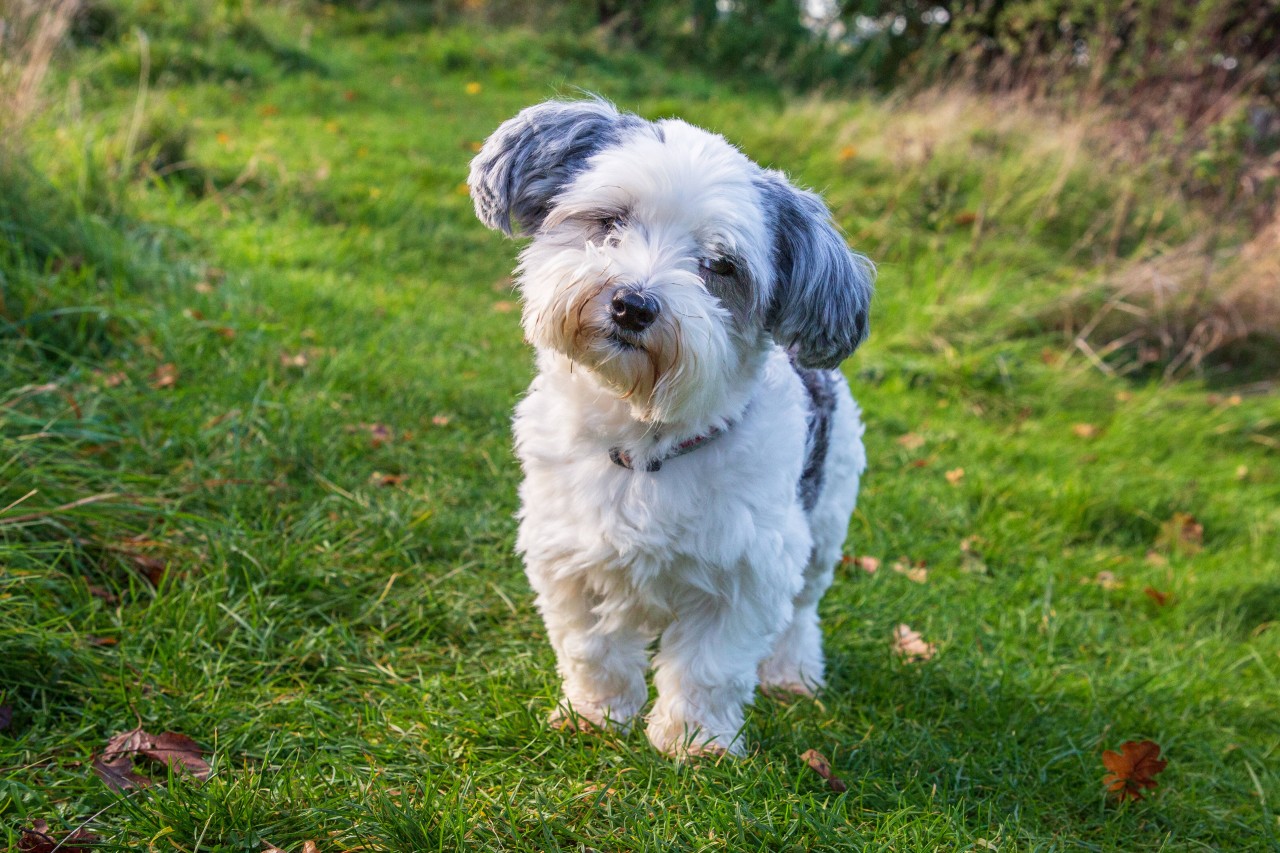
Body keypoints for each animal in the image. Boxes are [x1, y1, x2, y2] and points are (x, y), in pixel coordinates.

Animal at [465, 96, 875, 753]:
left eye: (720, 266)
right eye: (611, 220)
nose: (632, 304)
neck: (645, 442)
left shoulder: (747, 574)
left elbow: (709, 668)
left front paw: (694, 743)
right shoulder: (569, 557)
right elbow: (593, 650)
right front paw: (596, 715)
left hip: (825, 522)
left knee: (802, 610)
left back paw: (792, 670)